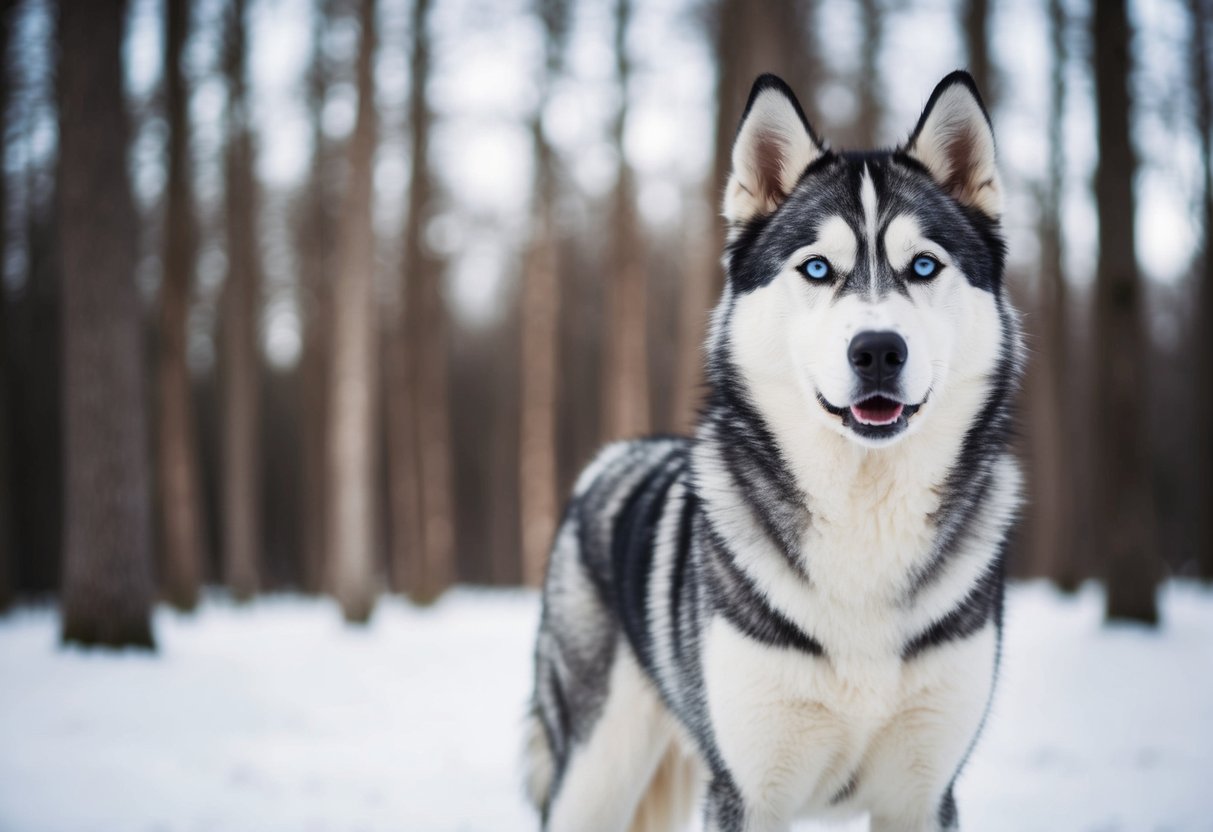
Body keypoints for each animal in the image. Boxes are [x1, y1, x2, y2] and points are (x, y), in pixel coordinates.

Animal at [525, 70, 1023, 832]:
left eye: (922, 265)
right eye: (816, 268)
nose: (877, 350)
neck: (862, 514)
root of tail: (612, 458)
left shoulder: (924, 792)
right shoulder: (746, 790)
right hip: (596, 776)